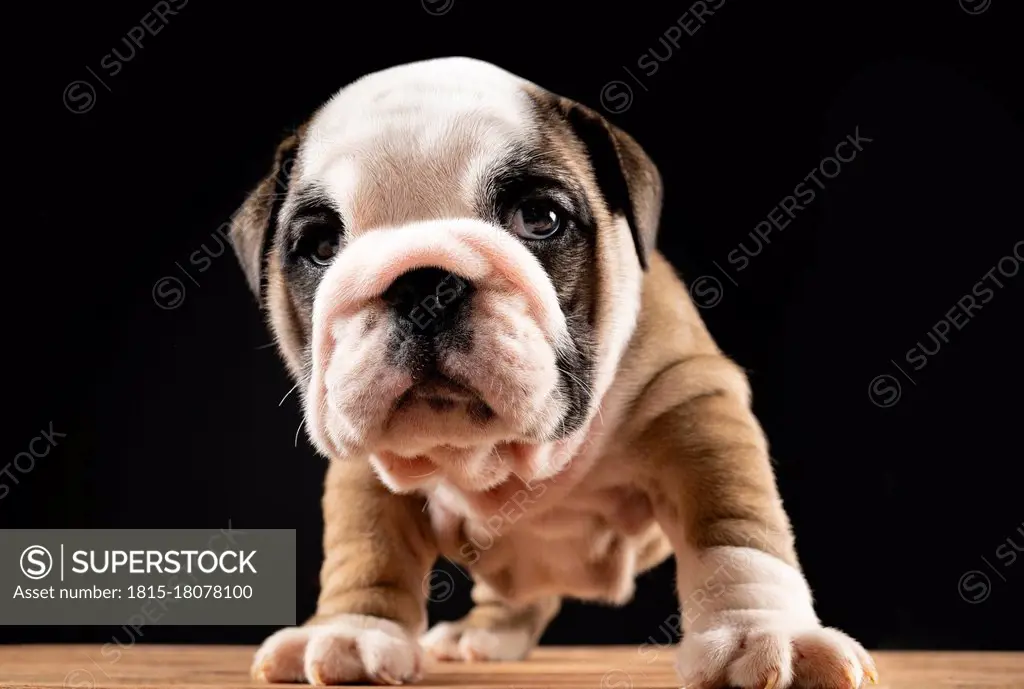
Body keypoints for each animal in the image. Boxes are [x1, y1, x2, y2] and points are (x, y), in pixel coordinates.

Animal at [228, 59, 876, 687]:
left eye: (541, 217)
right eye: (319, 245)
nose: (421, 282)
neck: (505, 458)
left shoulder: (694, 405)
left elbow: (734, 529)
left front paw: (761, 632)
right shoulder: (367, 466)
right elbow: (367, 545)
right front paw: (355, 630)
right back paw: (484, 633)